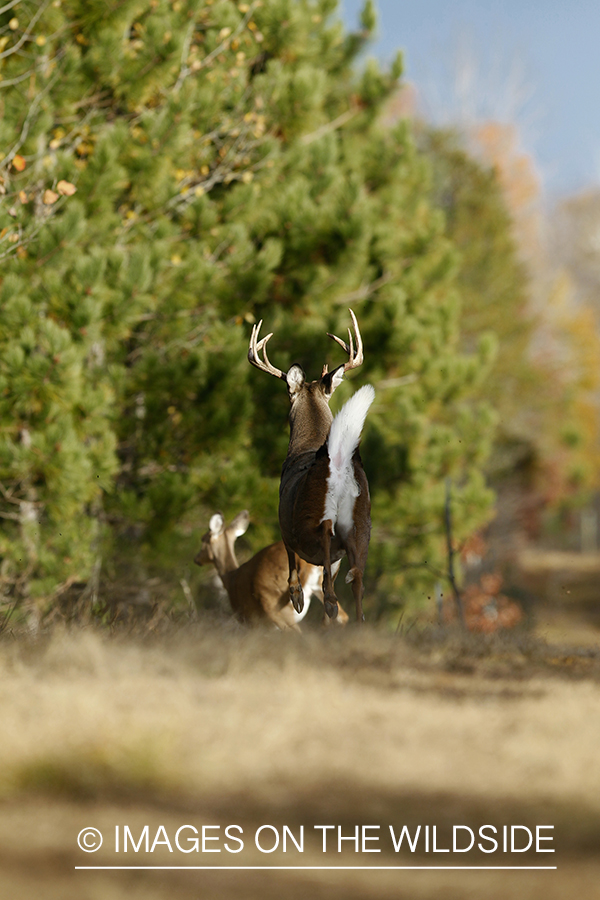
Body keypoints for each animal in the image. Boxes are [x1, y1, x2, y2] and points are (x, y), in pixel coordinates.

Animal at [195, 510, 346, 628]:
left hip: (276, 604)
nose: (196, 559)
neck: (230, 577)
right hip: (320, 588)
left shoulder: (249, 619)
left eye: (203, 539)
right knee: (341, 617)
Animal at [246, 308, 372, 620]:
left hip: (312, 511)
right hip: (363, 519)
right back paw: (356, 615)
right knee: (358, 576)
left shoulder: (284, 522)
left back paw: (329, 601)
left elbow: (292, 561)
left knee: (325, 534)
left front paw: (297, 597)